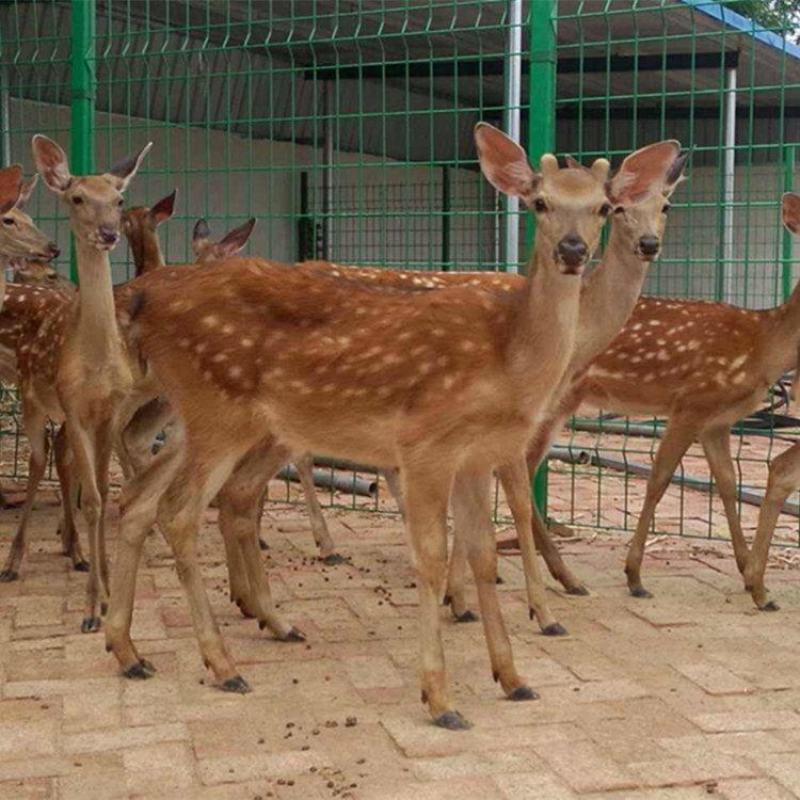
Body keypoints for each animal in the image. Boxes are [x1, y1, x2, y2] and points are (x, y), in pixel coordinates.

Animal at [0, 135, 151, 637]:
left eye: (119, 199)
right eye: (78, 198)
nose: (108, 233)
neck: (97, 364)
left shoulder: (108, 414)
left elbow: (101, 494)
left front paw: (104, 593)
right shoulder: (74, 406)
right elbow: (93, 502)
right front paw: (91, 608)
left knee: (57, 460)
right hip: (32, 399)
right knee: (35, 460)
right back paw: (13, 562)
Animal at [103, 123, 678, 728]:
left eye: (602, 207)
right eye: (539, 203)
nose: (572, 250)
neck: (512, 356)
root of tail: (143, 298)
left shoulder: (477, 454)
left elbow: (482, 551)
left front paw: (513, 676)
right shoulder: (427, 443)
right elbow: (436, 552)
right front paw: (443, 694)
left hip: (211, 420)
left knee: (149, 498)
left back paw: (138, 648)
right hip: (218, 412)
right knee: (180, 510)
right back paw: (222, 662)